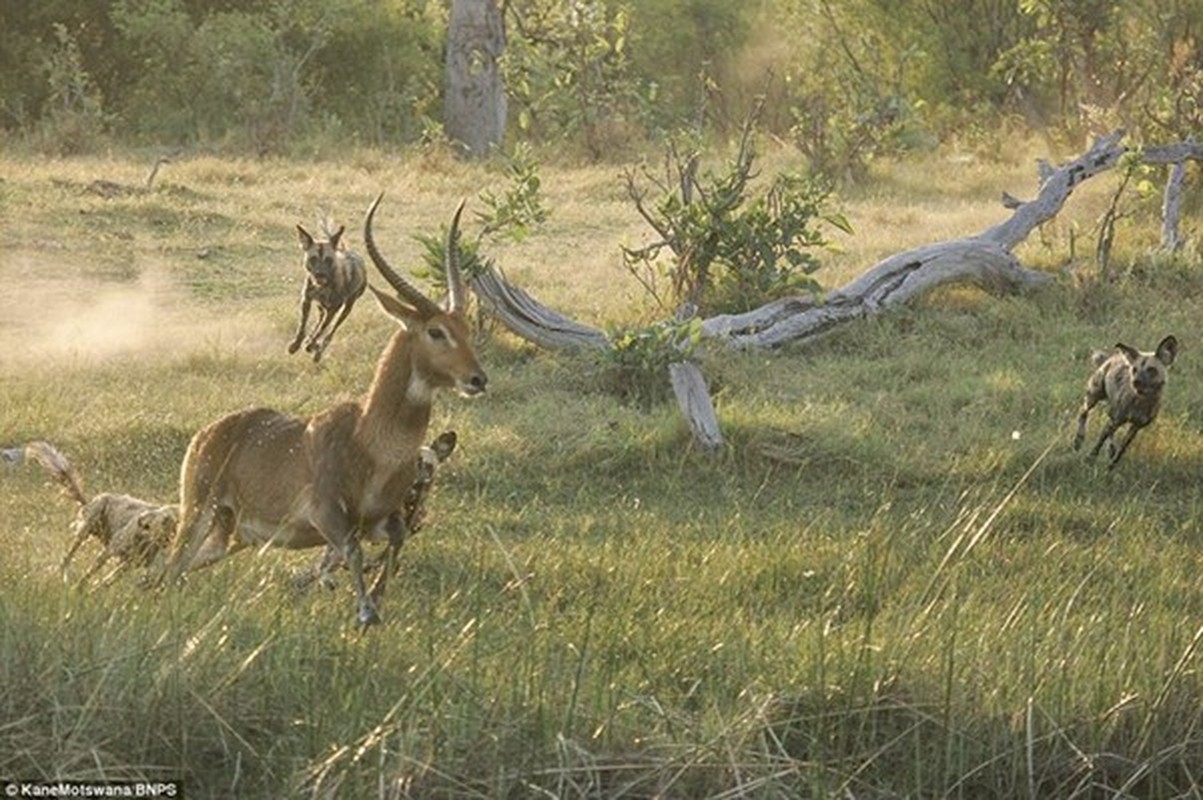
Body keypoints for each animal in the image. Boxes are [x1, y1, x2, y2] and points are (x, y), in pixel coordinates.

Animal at [2, 440, 176, 584]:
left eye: (172, 524)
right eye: (164, 522)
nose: (172, 536)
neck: (145, 538)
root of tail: (89, 502)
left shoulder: (126, 565)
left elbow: (103, 583)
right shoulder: (109, 552)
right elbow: (88, 575)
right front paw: (78, 590)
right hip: (86, 529)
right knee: (66, 558)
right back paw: (63, 576)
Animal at [157, 194, 486, 625]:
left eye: (466, 328)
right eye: (435, 331)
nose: (478, 379)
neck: (371, 443)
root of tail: (208, 432)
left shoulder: (380, 520)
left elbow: (394, 543)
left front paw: (375, 601)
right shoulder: (327, 516)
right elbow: (351, 551)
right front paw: (365, 612)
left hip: (227, 536)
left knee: (170, 569)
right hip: (198, 512)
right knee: (170, 565)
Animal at [1073, 332, 1174, 469]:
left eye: (1151, 370)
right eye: (1134, 369)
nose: (1135, 382)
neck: (1142, 401)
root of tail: (1113, 357)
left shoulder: (1135, 427)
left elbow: (1122, 449)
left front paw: (1111, 466)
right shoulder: (1116, 420)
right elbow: (1099, 442)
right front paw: (1090, 459)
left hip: (1112, 412)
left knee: (1109, 428)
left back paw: (1110, 449)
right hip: (1093, 397)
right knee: (1083, 411)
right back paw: (1078, 440)